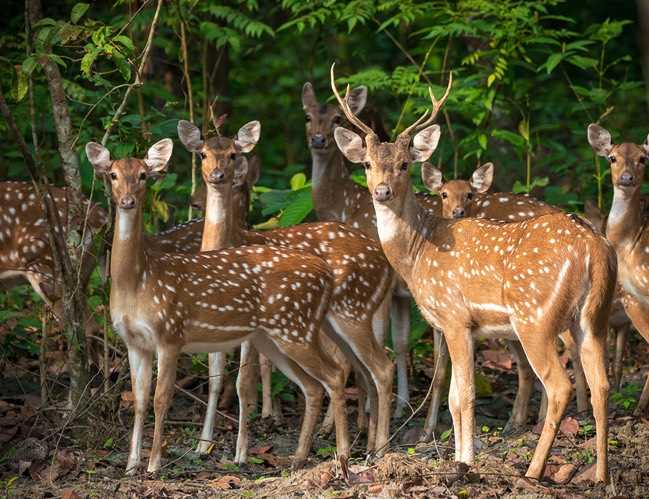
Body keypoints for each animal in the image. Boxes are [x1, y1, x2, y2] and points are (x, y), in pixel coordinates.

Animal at [86, 139, 352, 474]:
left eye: (144, 175)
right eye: (113, 174)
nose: (128, 201)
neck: (138, 282)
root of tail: (326, 273)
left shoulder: (170, 334)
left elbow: (161, 398)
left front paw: (154, 464)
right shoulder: (134, 342)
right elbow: (139, 400)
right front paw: (131, 465)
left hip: (294, 328)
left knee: (334, 375)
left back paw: (343, 456)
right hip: (274, 337)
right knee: (314, 386)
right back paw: (299, 457)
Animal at [332, 64, 616, 482]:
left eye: (404, 164)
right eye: (367, 164)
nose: (382, 191)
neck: (418, 252)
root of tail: (595, 250)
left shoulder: (454, 317)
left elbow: (463, 395)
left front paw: (464, 463)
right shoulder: (462, 326)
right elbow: (453, 396)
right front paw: (459, 457)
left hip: (535, 316)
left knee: (559, 385)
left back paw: (533, 470)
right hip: (592, 317)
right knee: (603, 385)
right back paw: (600, 474)